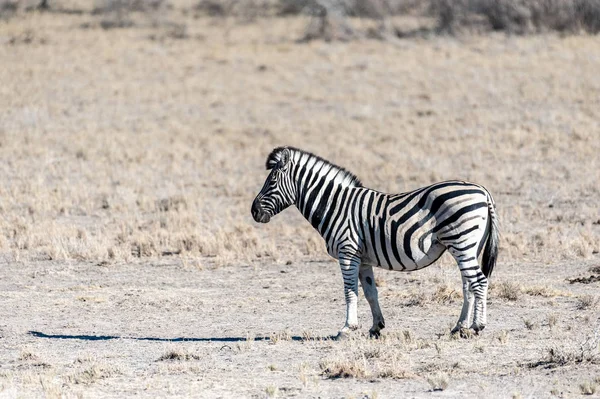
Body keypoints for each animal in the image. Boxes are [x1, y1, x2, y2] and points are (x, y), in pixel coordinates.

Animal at [251, 145, 500, 340]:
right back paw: (459, 327)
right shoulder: (362, 259)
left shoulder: (348, 252)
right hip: (467, 246)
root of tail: (482, 191)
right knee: (468, 284)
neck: (335, 205)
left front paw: (347, 329)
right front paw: (376, 327)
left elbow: (350, 291)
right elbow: (371, 293)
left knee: (479, 282)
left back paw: (477, 326)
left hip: (461, 242)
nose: (254, 212)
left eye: (272, 181)